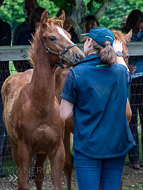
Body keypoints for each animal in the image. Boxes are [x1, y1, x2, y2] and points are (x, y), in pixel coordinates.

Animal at [1, 10, 84, 190]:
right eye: (52, 38)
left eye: (68, 34)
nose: (79, 55)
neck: (40, 107)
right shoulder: (24, 151)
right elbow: (24, 183)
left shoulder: (56, 150)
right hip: (16, 147)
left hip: (41, 152)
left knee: (39, 176)